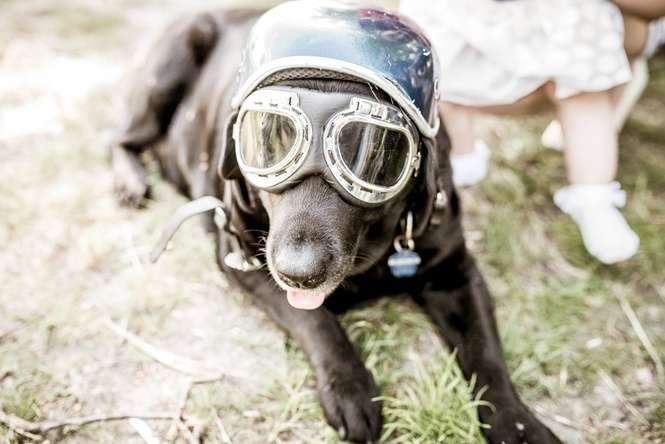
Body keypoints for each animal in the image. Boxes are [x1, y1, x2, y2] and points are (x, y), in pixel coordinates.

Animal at [111, 4, 561, 443]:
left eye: (375, 153)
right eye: (271, 140)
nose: (299, 272)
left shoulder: (456, 271)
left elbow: (486, 354)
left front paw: (520, 425)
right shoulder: (242, 259)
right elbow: (317, 321)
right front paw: (349, 389)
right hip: (167, 70)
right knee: (119, 137)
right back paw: (131, 181)